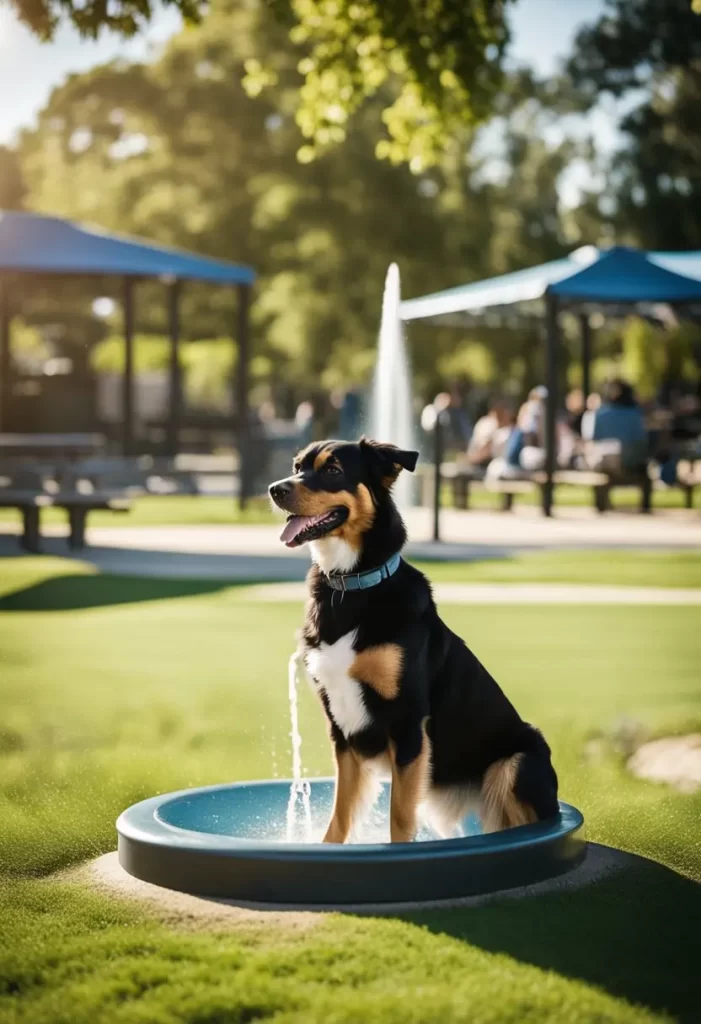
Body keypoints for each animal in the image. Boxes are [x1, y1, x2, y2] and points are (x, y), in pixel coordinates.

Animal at [268, 436, 556, 843]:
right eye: (297, 467)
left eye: (333, 470)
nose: (275, 489)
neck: (351, 587)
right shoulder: (340, 728)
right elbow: (340, 817)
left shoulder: (408, 722)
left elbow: (399, 819)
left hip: (517, 761)